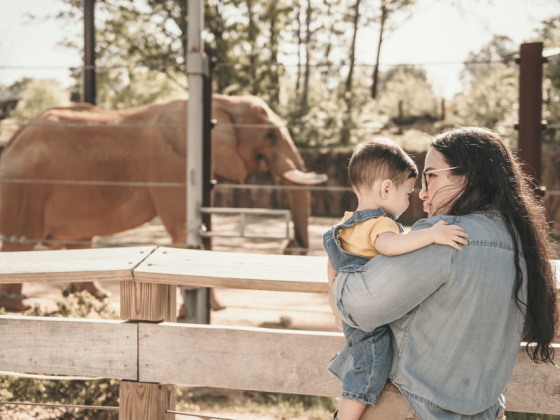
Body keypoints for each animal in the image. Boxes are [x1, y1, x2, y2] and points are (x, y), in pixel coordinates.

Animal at [0, 95, 328, 312]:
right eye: (270, 135)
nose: (291, 246)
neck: (221, 102)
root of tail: (11, 144)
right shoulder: (174, 165)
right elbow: (182, 231)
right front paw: (209, 310)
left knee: (77, 242)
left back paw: (98, 299)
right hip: (25, 191)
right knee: (19, 243)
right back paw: (23, 308)